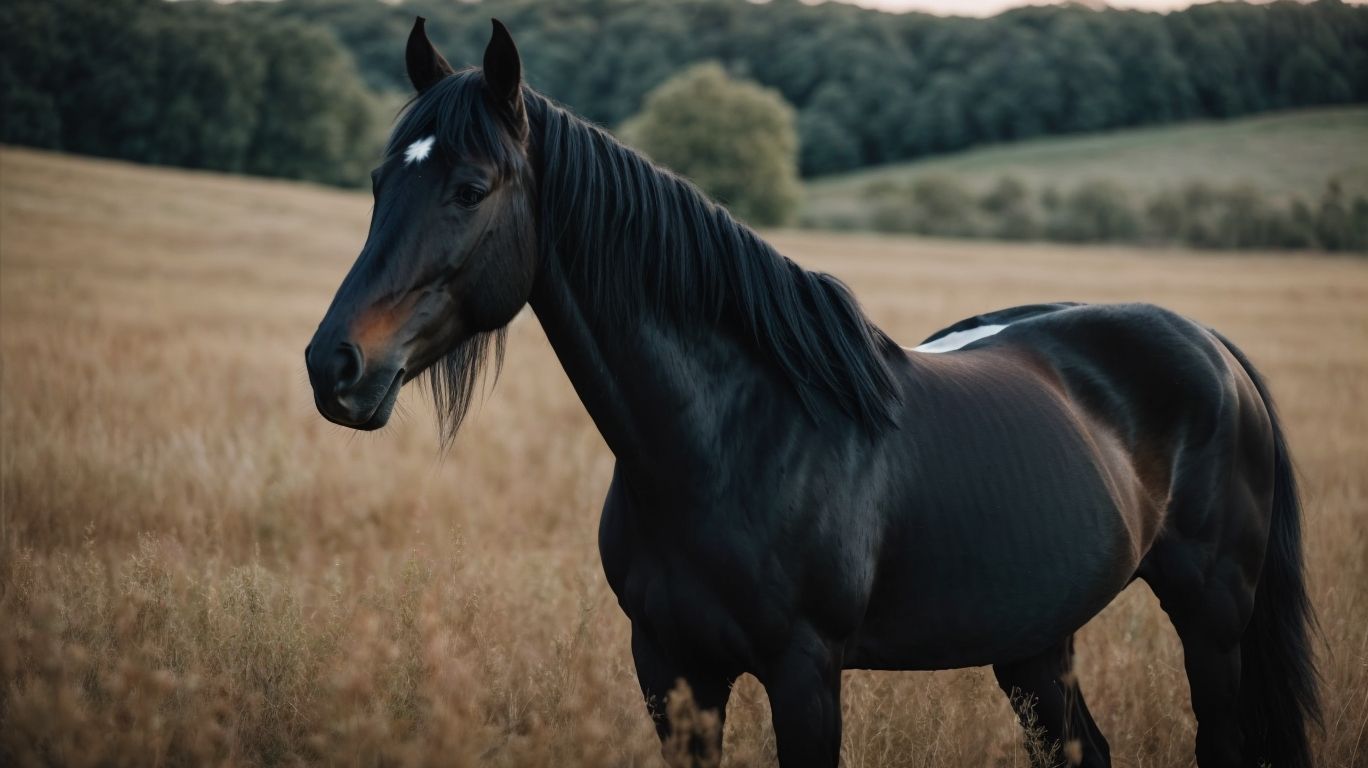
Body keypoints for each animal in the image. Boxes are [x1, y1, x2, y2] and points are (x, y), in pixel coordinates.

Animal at [305, 18, 1319, 768]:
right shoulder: (672, 674)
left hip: (1211, 619)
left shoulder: (805, 675)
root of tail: (1214, 350)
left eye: (472, 186)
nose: (334, 366)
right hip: (1038, 639)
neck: (726, 440)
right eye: (378, 180)